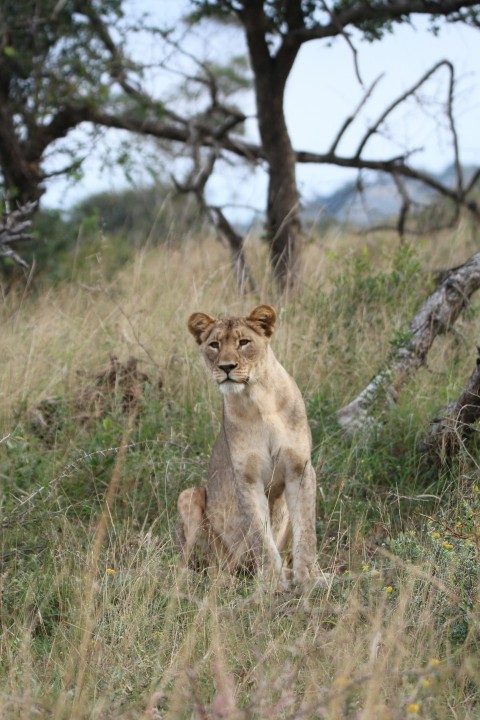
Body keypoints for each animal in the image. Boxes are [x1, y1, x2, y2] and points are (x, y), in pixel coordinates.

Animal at [177, 304, 319, 590]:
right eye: (214, 344)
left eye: (244, 342)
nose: (226, 367)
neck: (258, 400)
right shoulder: (246, 478)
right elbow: (259, 536)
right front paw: (273, 581)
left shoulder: (300, 469)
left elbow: (307, 529)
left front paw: (309, 576)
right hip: (189, 497)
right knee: (199, 564)